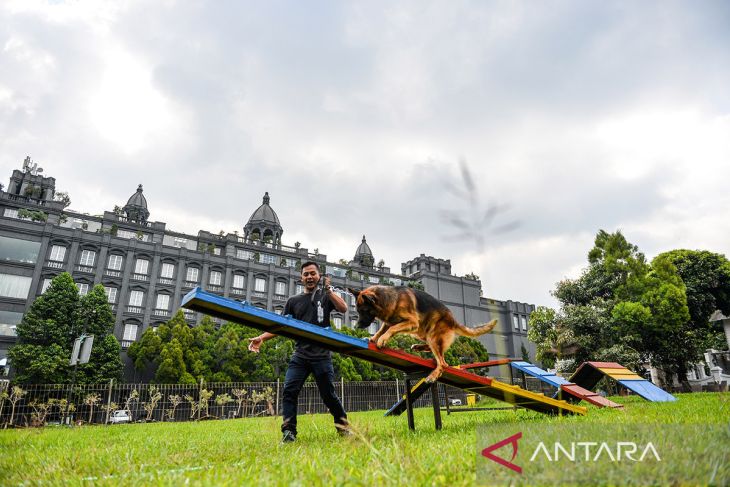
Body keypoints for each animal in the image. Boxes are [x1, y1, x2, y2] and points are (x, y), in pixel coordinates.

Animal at [346, 284, 494, 384]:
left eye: (364, 311)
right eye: (358, 311)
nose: (357, 326)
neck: (389, 299)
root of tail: (453, 320)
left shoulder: (411, 322)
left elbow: (391, 329)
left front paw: (382, 340)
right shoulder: (388, 322)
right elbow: (381, 330)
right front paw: (373, 338)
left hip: (428, 333)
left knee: (443, 363)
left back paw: (432, 376)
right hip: (423, 332)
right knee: (438, 352)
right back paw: (418, 347)